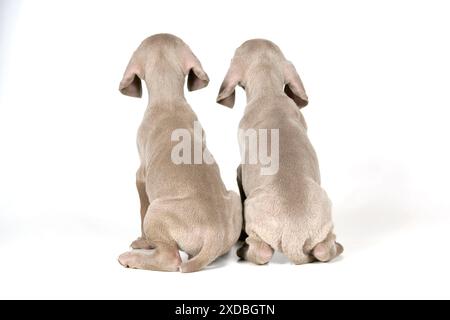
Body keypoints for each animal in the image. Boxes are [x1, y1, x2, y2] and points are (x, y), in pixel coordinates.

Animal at [118, 33, 241, 272]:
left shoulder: (141, 177)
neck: (169, 101)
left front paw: (143, 242)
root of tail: (215, 235)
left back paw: (131, 258)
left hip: (157, 211)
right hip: (233, 198)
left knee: (170, 258)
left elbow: (141, 209)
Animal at [216, 40, 342, 264]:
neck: (269, 93)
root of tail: (294, 236)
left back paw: (243, 251)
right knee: (323, 250)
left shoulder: (241, 167)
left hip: (254, 212)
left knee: (261, 252)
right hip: (324, 215)